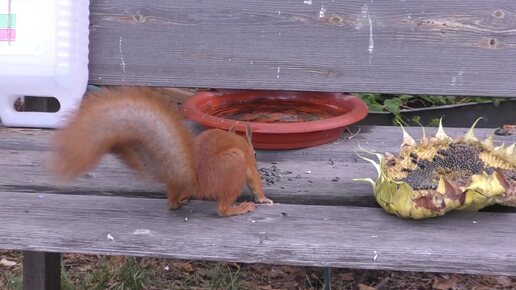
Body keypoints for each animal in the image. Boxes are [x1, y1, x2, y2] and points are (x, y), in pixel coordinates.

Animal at [50, 85, 274, 215]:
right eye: (255, 153)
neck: (237, 138)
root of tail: (190, 176)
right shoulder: (247, 162)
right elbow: (254, 180)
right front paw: (264, 199)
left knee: (172, 202)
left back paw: (179, 201)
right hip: (234, 165)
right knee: (222, 209)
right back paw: (240, 208)